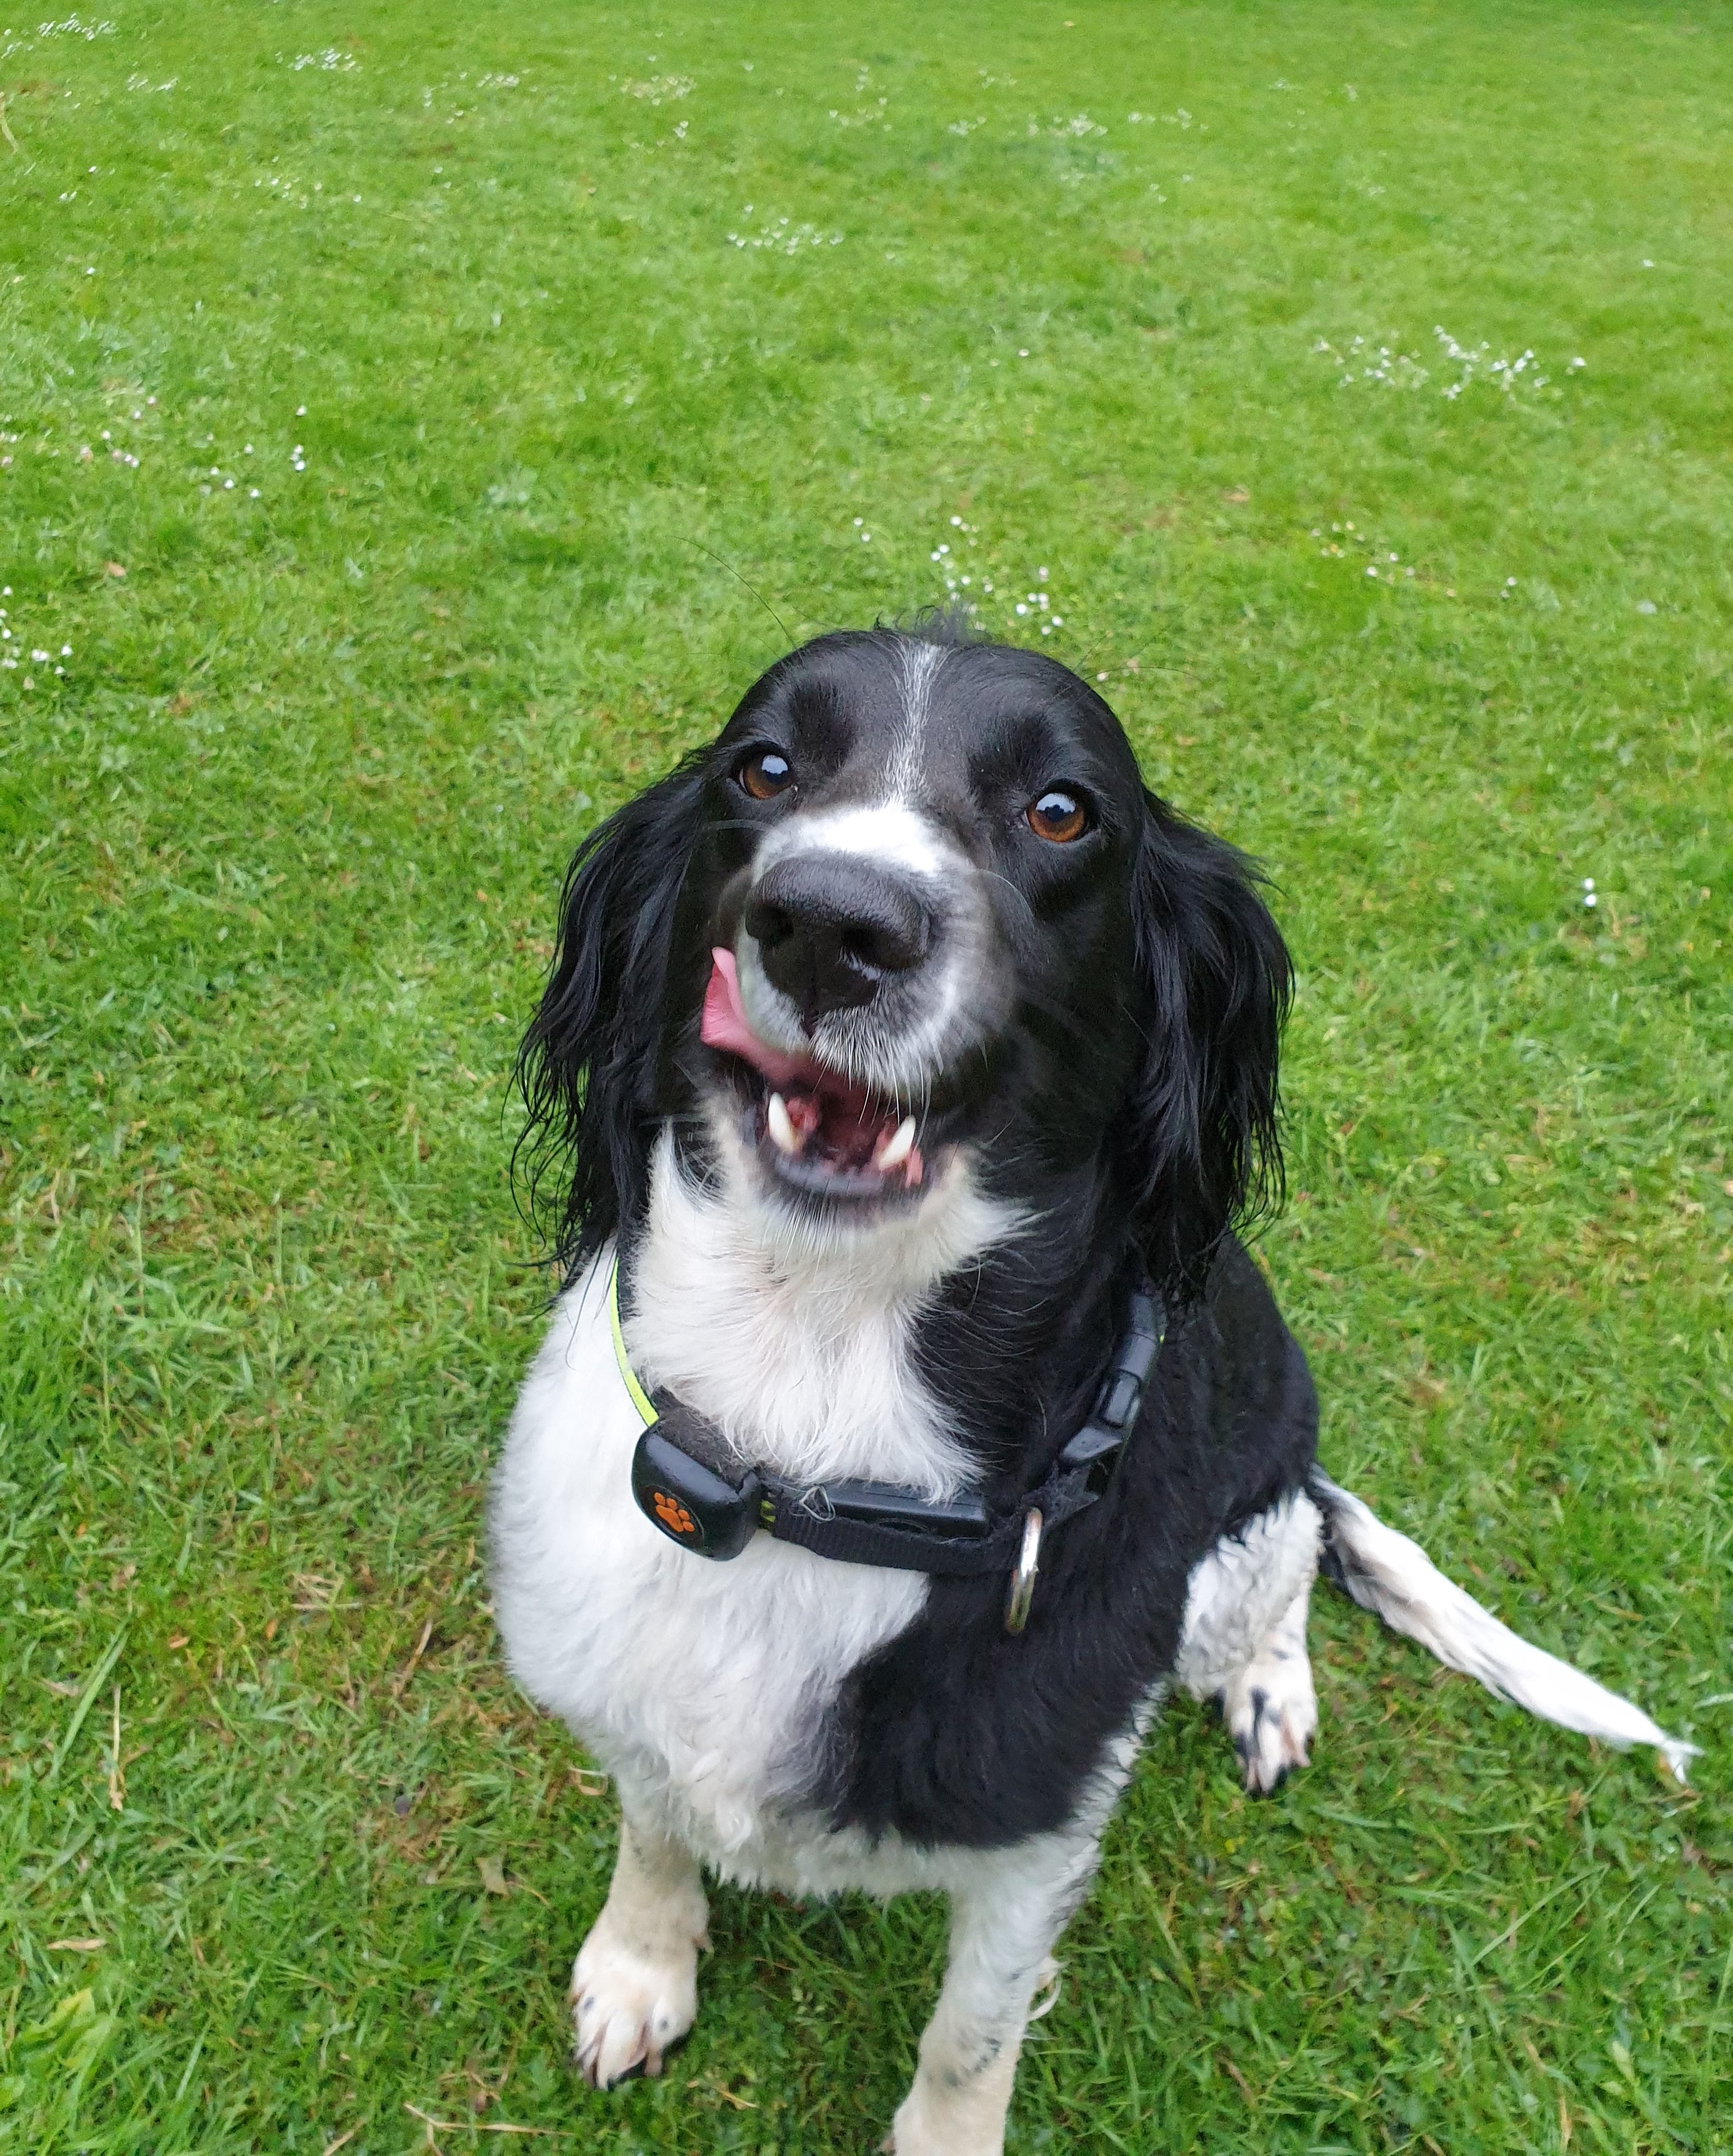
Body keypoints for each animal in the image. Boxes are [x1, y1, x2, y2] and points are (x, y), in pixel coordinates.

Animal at [487, 625, 1689, 2156]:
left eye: (1062, 810)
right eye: (761, 768)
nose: (829, 922)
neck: (816, 1423)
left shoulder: (1041, 1826)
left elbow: (969, 2036)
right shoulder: (625, 1672)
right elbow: (651, 1819)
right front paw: (640, 1969)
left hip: (1244, 1524)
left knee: (1290, 1562)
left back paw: (1271, 1690)